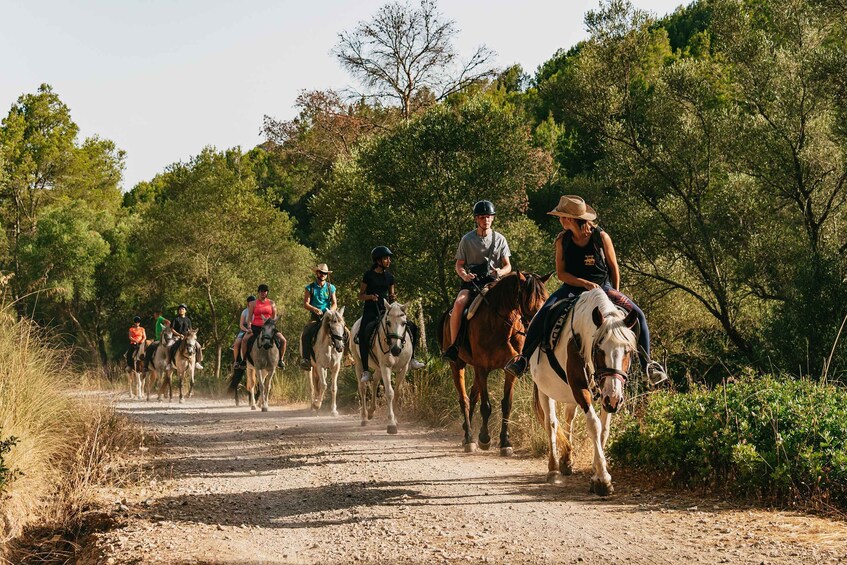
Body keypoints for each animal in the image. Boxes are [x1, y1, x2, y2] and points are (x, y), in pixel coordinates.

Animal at [352, 302, 414, 434]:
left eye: (404, 323)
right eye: (388, 322)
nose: (395, 350)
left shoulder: (404, 368)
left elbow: (397, 392)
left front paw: (395, 420)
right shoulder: (386, 367)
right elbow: (389, 393)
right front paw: (391, 424)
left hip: (378, 367)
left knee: (374, 382)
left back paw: (371, 412)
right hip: (359, 364)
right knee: (363, 388)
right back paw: (364, 418)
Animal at [440, 270, 552, 454]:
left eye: (546, 298)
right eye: (530, 300)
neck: (499, 325)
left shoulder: (509, 370)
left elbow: (506, 404)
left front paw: (505, 441)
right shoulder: (482, 368)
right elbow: (486, 406)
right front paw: (484, 439)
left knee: (472, 396)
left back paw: (467, 434)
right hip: (457, 365)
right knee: (464, 399)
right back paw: (469, 438)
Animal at [528, 288, 636, 496]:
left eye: (627, 351)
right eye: (599, 350)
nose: (614, 399)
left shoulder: (605, 394)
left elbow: (604, 430)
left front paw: (595, 473)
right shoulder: (580, 387)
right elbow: (594, 425)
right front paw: (602, 479)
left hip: (572, 396)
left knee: (568, 417)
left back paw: (566, 461)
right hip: (546, 390)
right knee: (551, 423)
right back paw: (553, 469)